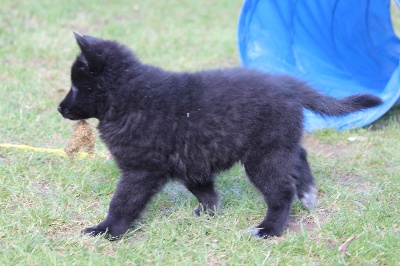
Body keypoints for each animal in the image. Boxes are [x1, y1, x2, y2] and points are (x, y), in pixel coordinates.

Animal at [57, 33, 382, 239]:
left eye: (75, 85)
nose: (59, 108)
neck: (128, 95)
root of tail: (288, 86)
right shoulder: (191, 159)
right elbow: (204, 190)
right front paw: (209, 213)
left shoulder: (141, 170)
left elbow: (122, 202)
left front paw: (106, 231)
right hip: (278, 142)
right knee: (299, 155)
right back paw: (308, 192)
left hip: (263, 156)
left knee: (281, 191)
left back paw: (269, 229)